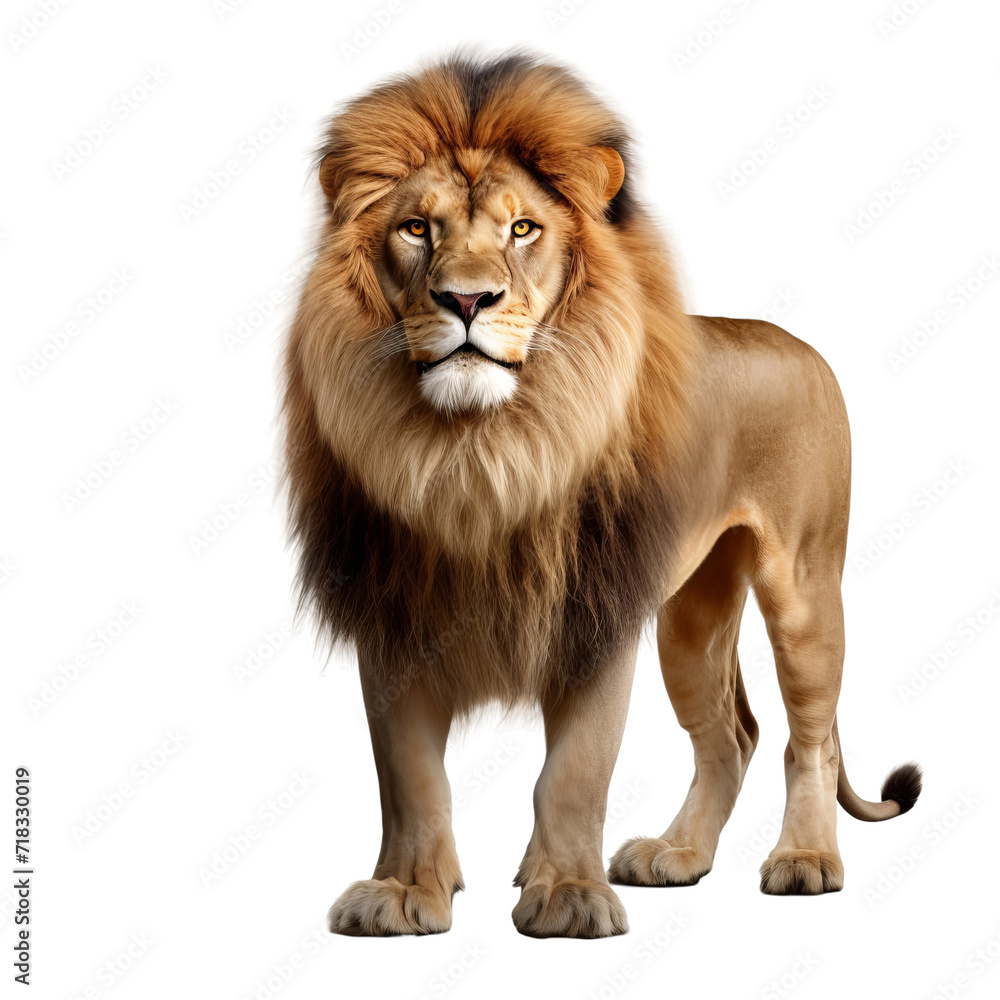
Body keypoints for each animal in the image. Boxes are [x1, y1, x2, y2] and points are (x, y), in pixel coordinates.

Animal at [281, 52, 922, 938]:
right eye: (416, 229)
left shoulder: (594, 610)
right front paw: (407, 893)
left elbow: (575, 771)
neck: (478, 451)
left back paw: (804, 860)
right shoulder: (394, 616)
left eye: (523, 230)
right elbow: (410, 780)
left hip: (803, 586)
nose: (467, 300)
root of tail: (792, 340)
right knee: (732, 733)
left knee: (810, 737)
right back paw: (677, 855)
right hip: (692, 616)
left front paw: (566, 896)